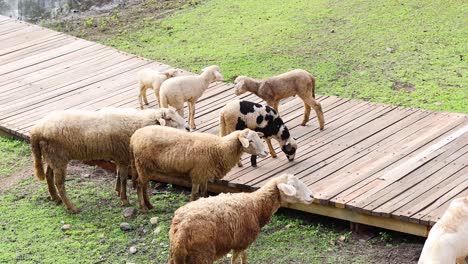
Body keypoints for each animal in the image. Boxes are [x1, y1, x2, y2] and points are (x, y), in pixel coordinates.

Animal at [28, 106, 186, 212]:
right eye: (170, 119)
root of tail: (36, 130)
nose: (188, 128)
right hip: (58, 157)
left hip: (51, 156)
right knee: (59, 183)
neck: (139, 123)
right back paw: (72, 207)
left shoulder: (119, 156)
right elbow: (123, 178)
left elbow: (118, 175)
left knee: (48, 175)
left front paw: (117, 191)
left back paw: (55, 198)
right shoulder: (122, 156)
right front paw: (124, 199)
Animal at [129, 126, 266, 212]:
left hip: (146, 167)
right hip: (142, 164)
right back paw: (143, 208)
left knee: (144, 185)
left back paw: (149, 205)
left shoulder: (204, 174)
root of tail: (133, 137)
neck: (220, 149)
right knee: (140, 185)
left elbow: (204, 193)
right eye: (250, 141)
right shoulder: (197, 174)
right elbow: (194, 193)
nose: (265, 152)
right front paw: (191, 205)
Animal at [168, 173, 314, 264]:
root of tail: (181, 231)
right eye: (293, 186)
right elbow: (235, 260)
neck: (257, 205)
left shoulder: (241, 243)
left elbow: (244, 256)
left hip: (175, 256)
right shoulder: (241, 242)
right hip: (201, 255)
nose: (312, 196)